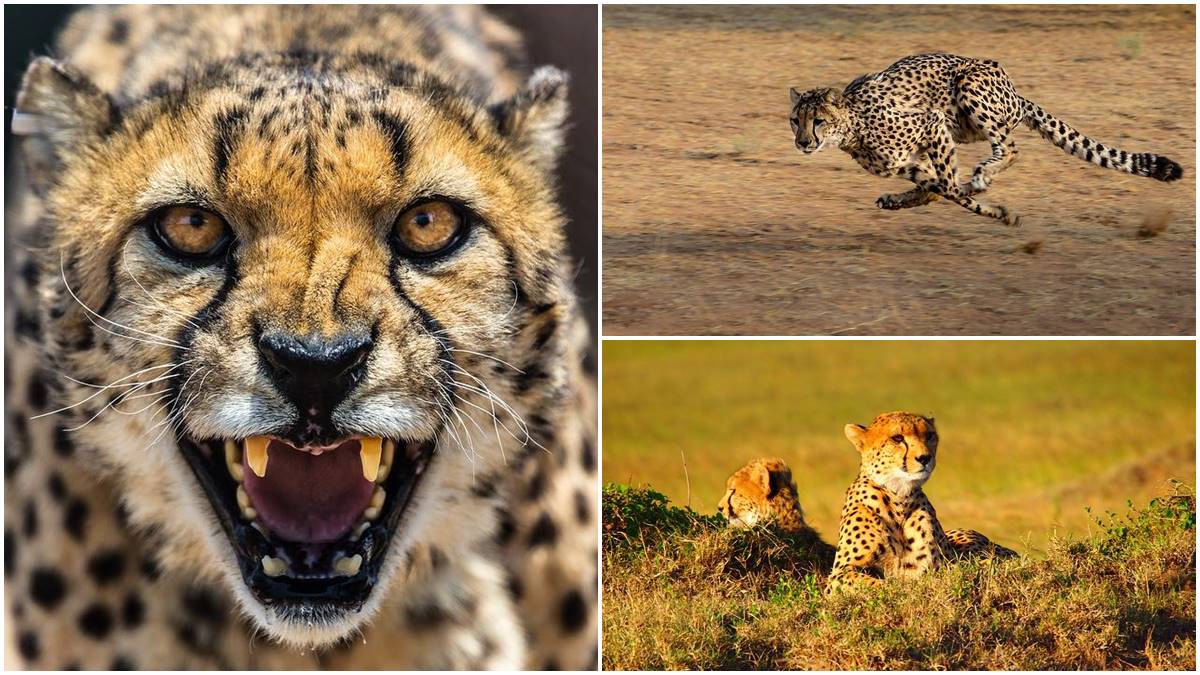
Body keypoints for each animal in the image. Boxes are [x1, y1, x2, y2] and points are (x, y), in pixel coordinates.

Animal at [789, 52, 1184, 226]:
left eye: (818, 121)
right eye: (795, 121)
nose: (803, 142)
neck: (853, 126)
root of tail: (1015, 90)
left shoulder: (932, 123)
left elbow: (949, 187)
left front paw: (994, 208)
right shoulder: (906, 162)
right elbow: (937, 187)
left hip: (969, 89)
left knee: (1010, 147)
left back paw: (981, 176)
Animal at [826, 412, 1015, 595]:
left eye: (929, 435)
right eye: (897, 438)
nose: (925, 458)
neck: (899, 498)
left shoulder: (938, 567)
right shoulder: (839, 574)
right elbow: (876, 584)